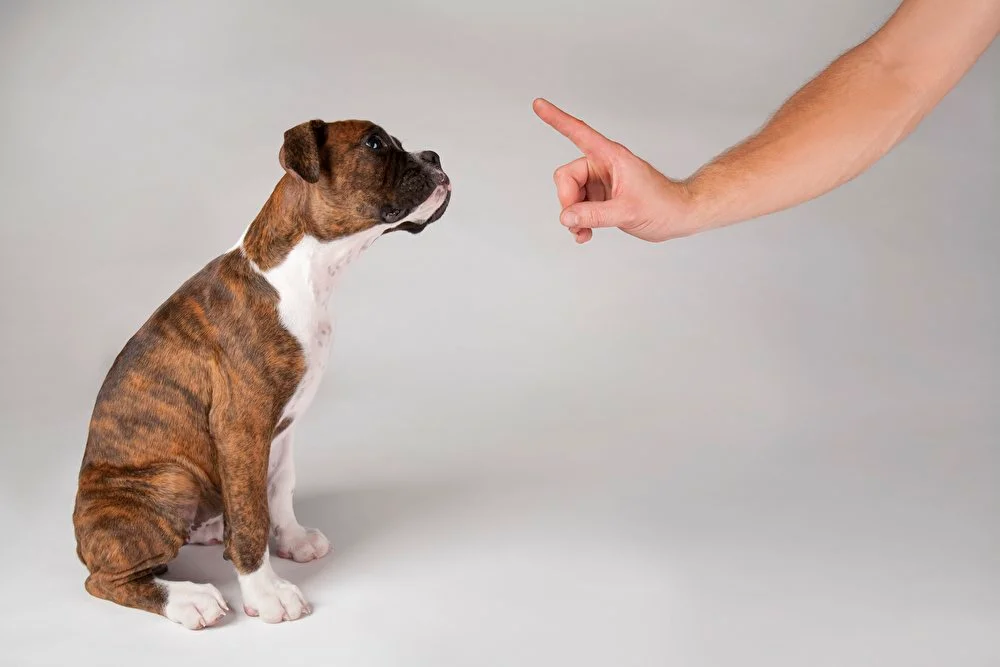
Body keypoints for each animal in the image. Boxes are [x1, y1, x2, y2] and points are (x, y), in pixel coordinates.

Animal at [76, 117, 452, 628]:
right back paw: (188, 599)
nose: (434, 156)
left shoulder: (282, 427)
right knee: (107, 581)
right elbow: (252, 514)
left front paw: (291, 539)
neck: (304, 273)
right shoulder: (243, 425)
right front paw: (267, 591)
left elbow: (278, 486)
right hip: (170, 481)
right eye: (374, 143)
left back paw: (211, 530)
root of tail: (81, 537)